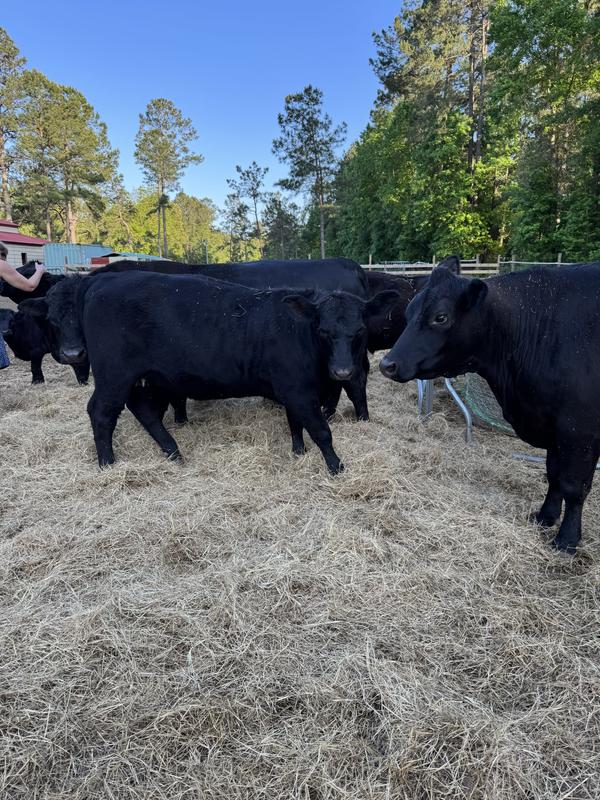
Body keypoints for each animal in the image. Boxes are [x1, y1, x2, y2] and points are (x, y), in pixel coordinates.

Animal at [21, 272, 399, 471]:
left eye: (359, 331)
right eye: (323, 331)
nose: (342, 371)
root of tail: (102, 280)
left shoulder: (295, 391)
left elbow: (296, 425)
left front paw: (298, 453)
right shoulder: (298, 390)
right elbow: (321, 430)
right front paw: (336, 466)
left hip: (150, 378)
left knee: (143, 411)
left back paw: (173, 452)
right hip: (115, 375)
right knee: (101, 412)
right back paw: (108, 463)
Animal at [379, 263, 600, 554]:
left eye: (441, 317)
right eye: (408, 312)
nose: (387, 364)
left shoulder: (579, 431)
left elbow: (573, 486)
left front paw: (566, 540)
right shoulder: (553, 427)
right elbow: (553, 475)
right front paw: (544, 517)